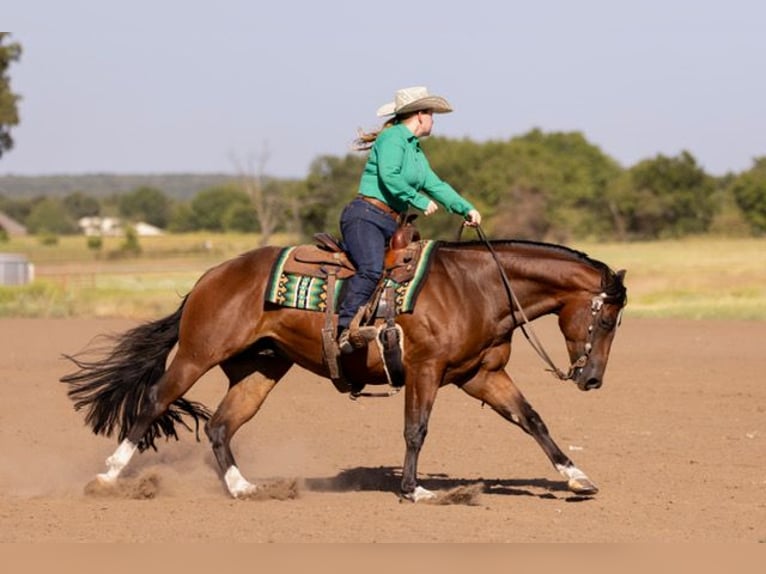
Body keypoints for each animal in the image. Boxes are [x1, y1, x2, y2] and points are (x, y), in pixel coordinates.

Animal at [60, 235, 627, 502]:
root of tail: (209, 277)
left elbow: (532, 419)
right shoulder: (425, 369)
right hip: (199, 354)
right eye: (607, 317)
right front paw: (415, 489)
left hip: (261, 370)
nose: (592, 379)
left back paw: (244, 489)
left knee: (220, 426)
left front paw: (578, 478)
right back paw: (106, 478)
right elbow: (416, 429)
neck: (477, 286)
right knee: (153, 404)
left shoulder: (480, 376)